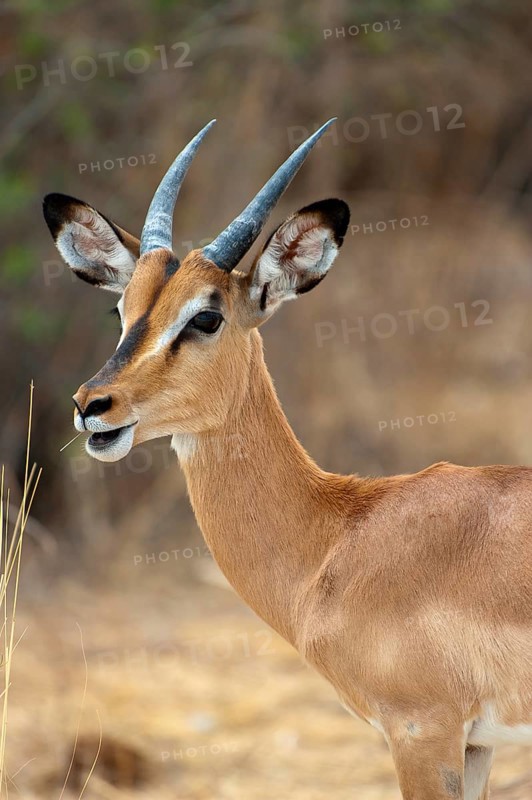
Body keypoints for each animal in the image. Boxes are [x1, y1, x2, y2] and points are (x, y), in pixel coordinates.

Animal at [43, 119, 532, 800]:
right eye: (122, 309)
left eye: (207, 317)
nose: (92, 405)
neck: (341, 537)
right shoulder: (477, 743)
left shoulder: (422, 732)